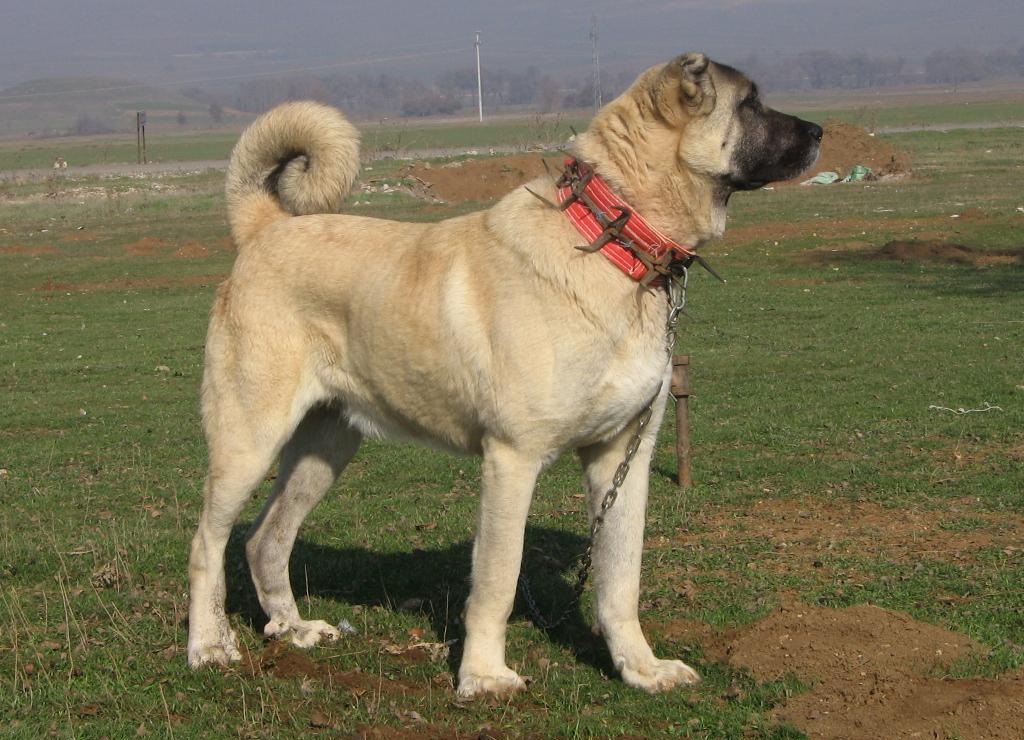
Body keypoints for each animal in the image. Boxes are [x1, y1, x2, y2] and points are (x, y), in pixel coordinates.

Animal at [186, 50, 823, 695]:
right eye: (749, 103)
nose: (820, 132)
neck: (612, 241)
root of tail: (265, 228)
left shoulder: (622, 457)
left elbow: (620, 579)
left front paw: (640, 668)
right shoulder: (512, 460)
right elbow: (497, 579)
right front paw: (484, 676)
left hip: (327, 446)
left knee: (266, 539)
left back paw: (294, 632)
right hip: (248, 440)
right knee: (207, 542)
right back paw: (210, 645)